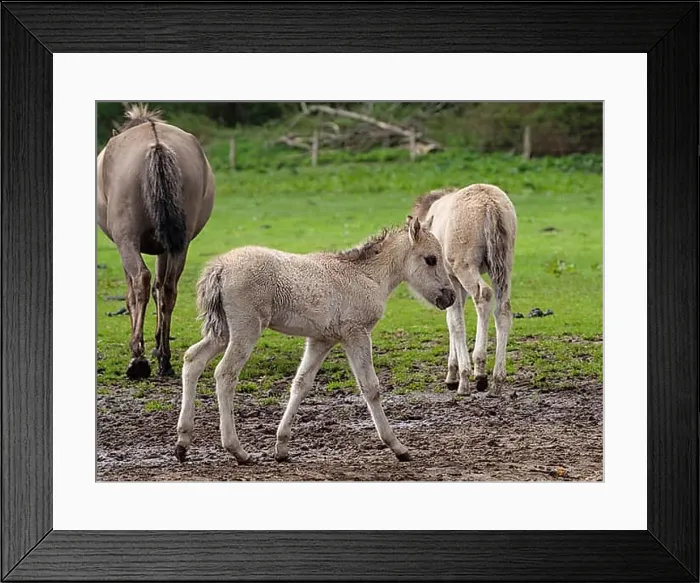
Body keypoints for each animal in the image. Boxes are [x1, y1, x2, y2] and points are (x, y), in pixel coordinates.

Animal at [97, 104, 216, 380]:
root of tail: (156, 143)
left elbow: (132, 294)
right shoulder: (165, 248)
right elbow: (160, 289)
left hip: (126, 241)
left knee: (141, 280)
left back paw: (138, 358)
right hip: (180, 244)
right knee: (169, 288)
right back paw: (164, 358)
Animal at [175, 216, 456, 465]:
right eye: (431, 259)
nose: (450, 296)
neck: (366, 276)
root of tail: (220, 266)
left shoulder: (321, 340)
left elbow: (301, 384)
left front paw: (282, 447)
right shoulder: (356, 333)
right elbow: (370, 387)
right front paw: (398, 447)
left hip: (222, 332)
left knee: (193, 359)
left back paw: (182, 443)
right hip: (246, 329)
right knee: (225, 374)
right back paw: (238, 451)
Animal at [411, 184, 517, 397]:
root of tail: (490, 204)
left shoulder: (451, 279)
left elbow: (455, 322)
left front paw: (460, 377)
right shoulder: (455, 287)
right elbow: (453, 319)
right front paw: (453, 374)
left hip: (466, 267)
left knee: (483, 296)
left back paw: (479, 372)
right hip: (503, 267)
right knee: (503, 309)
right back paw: (497, 380)